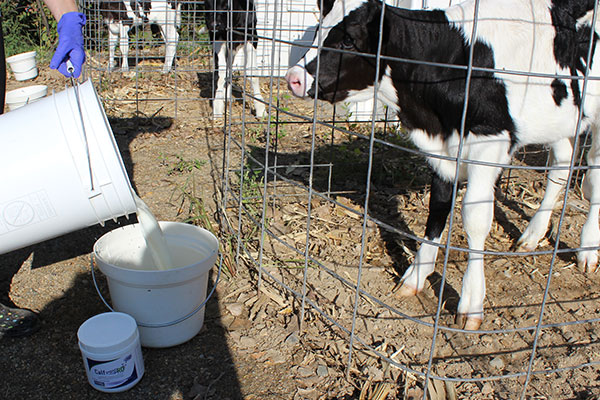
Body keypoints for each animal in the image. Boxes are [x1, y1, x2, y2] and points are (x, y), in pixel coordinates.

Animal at [286, 0, 600, 330]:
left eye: (349, 41)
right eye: (318, 29)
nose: (294, 77)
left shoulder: (487, 145)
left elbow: (475, 219)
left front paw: (471, 302)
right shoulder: (443, 153)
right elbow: (437, 210)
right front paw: (415, 276)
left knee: (593, 171)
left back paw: (588, 249)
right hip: (562, 117)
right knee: (562, 165)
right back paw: (532, 234)